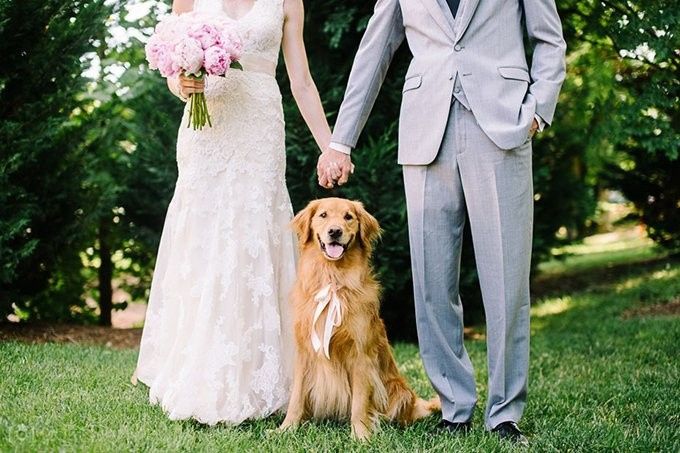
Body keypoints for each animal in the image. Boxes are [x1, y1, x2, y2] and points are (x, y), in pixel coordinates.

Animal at [278, 197, 440, 438]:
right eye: (323, 215)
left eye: (348, 217)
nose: (335, 231)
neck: (333, 278)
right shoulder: (305, 352)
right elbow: (296, 397)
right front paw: (286, 428)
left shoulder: (361, 355)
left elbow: (360, 402)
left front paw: (361, 435)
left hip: (398, 391)